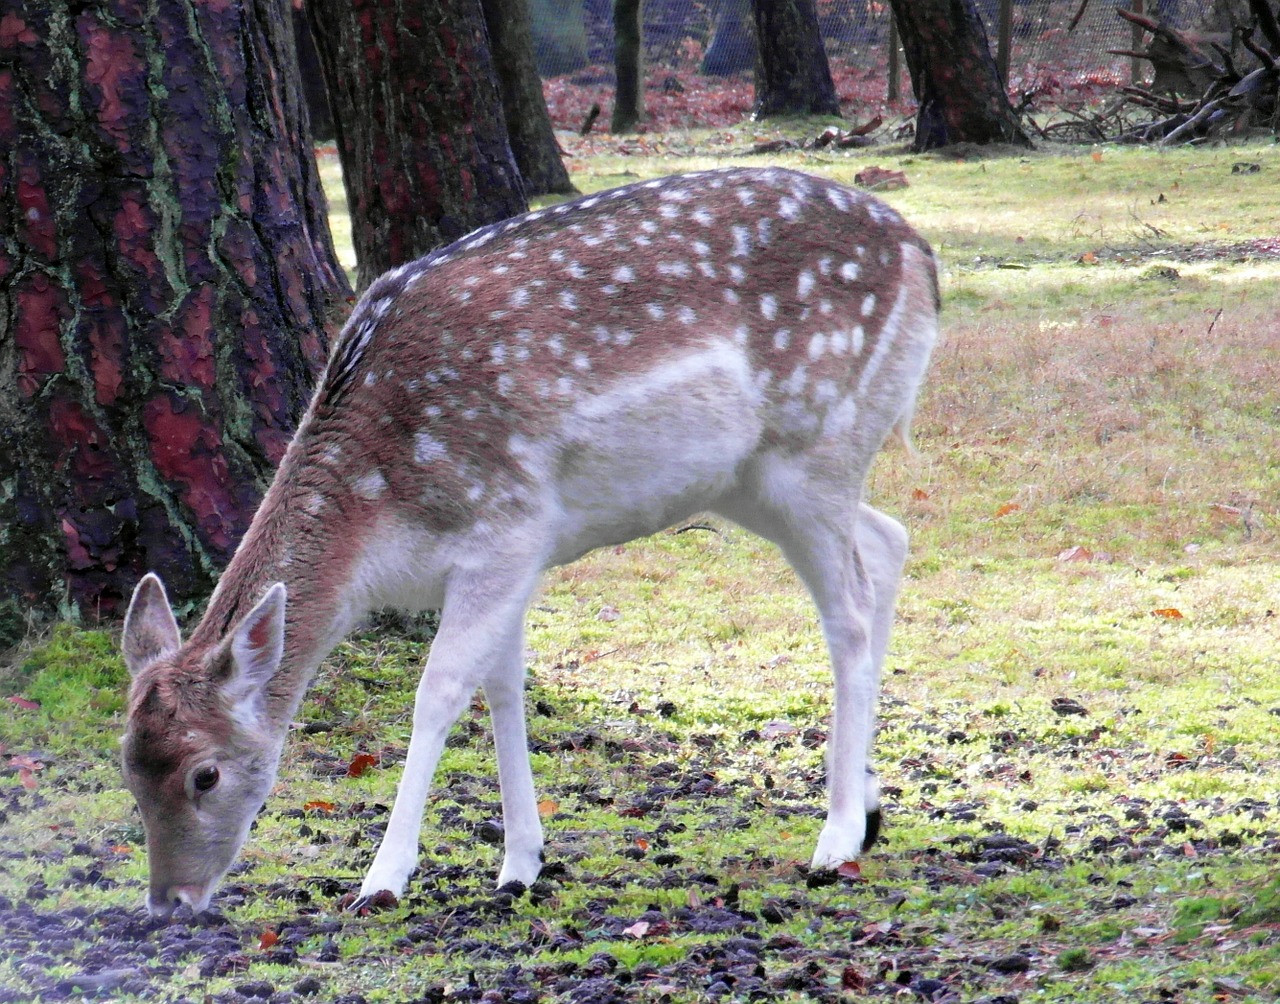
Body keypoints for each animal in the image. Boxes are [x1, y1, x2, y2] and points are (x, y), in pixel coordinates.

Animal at [122, 166, 942, 916]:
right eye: (127, 767)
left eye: (205, 773)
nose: (168, 902)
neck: (380, 523)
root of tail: (921, 255)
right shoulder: (508, 559)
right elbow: (503, 687)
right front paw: (521, 863)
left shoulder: (504, 527)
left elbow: (440, 692)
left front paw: (382, 880)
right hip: (754, 482)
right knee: (889, 539)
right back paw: (870, 806)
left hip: (815, 445)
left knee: (850, 610)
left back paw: (835, 838)